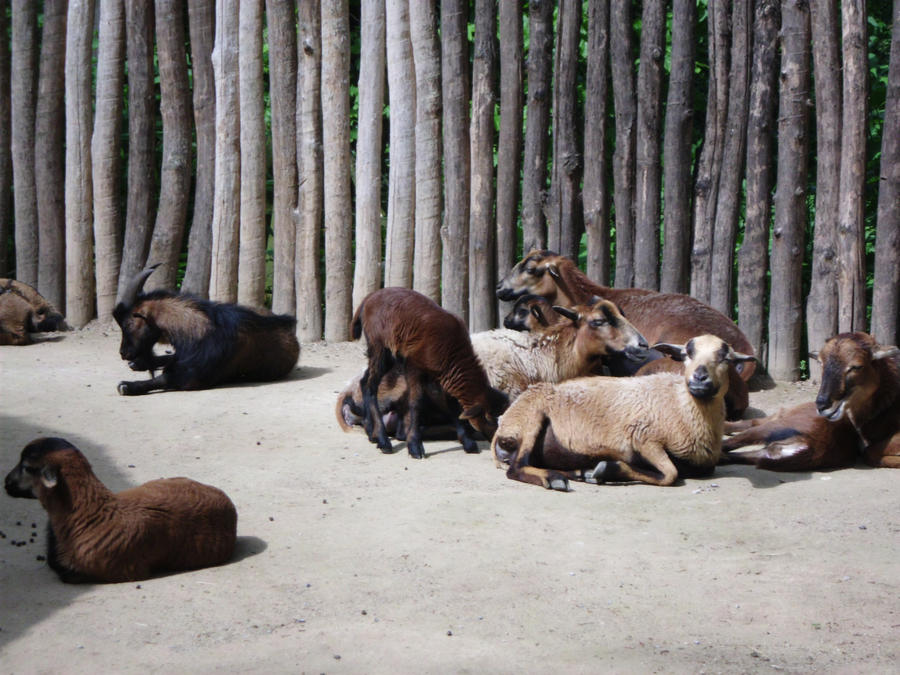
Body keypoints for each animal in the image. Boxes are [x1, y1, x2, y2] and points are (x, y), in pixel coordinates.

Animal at [113, 266, 298, 396]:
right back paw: (138, 363)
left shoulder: (192, 378)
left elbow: (164, 378)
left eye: (128, 323)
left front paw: (127, 386)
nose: (123, 353)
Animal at [350, 286, 510, 460]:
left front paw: (468, 442)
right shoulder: (413, 366)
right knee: (371, 386)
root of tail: (369, 298)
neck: (452, 352)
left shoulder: (445, 376)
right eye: (489, 418)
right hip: (379, 345)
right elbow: (416, 403)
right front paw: (414, 446)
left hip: (388, 355)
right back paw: (383, 440)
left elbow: (453, 406)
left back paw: (371, 433)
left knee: (364, 382)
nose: (497, 443)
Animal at [488, 336, 756, 492]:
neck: (679, 405)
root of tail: (502, 428)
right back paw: (554, 479)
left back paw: (579, 473)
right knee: (517, 467)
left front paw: (598, 472)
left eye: (725, 357)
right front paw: (608, 469)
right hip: (530, 417)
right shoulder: (643, 437)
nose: (699, 378)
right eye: (686, 354)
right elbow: (671, 474)